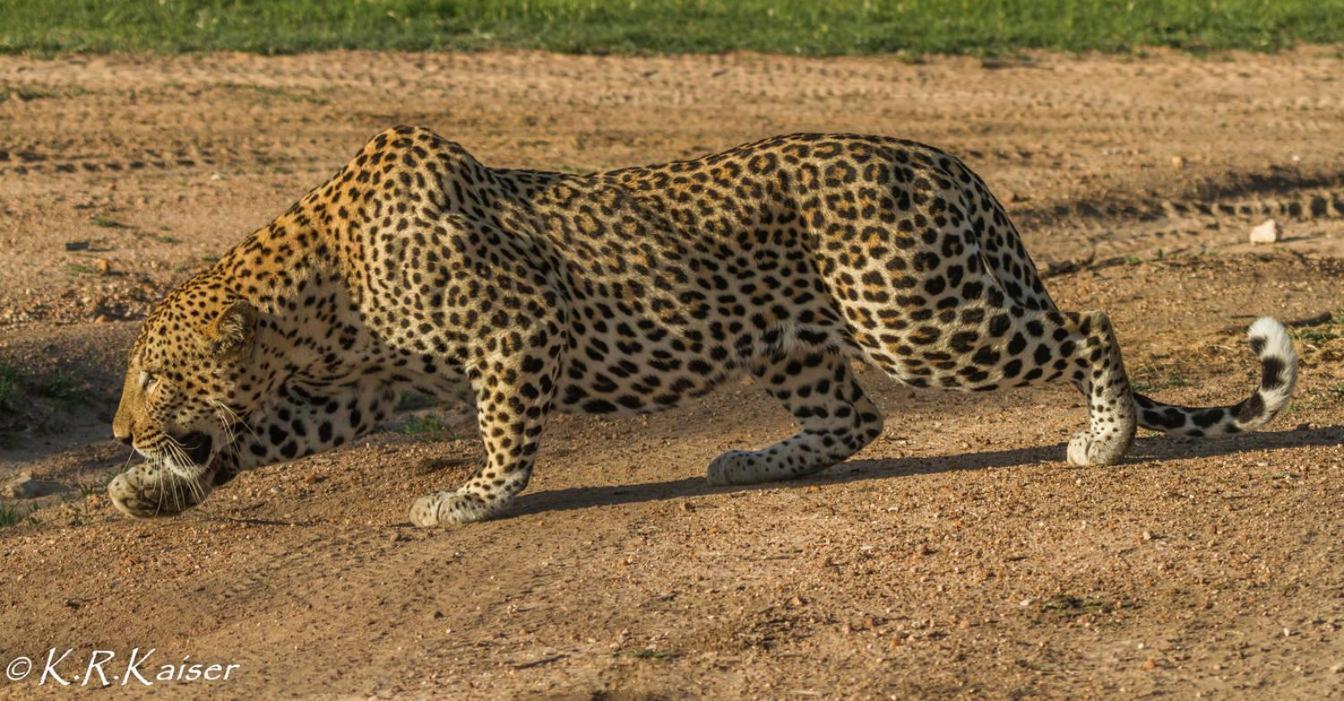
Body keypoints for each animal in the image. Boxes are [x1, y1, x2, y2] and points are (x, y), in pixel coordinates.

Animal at [110, 126, 1295, 523]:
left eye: (156, 378)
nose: (118, 430)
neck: (324, 291)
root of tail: (954, 164)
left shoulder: (516, 336)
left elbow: (506, 440)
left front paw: (472, 498)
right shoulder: (362, 388)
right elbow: (261, 437)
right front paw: (150, 487)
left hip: (917, 316)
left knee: (1087, 319)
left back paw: (1106, 438)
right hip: (802, 338)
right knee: (854, 421)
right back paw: (751, 461)